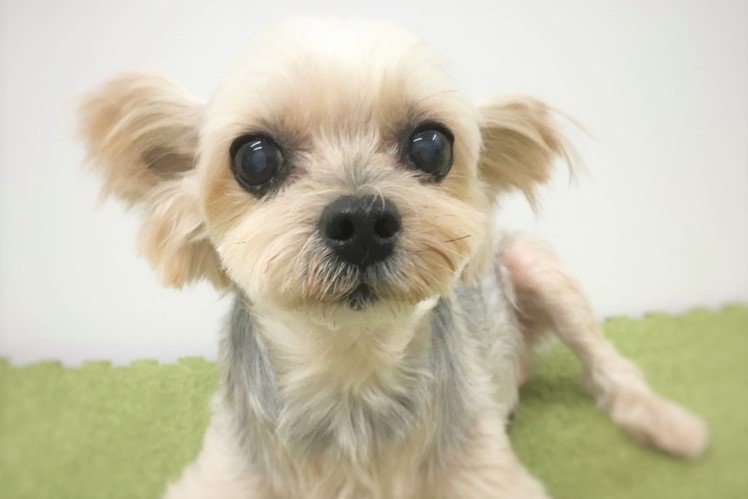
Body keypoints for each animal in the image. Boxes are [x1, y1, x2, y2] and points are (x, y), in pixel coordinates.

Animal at [79, 17, 708, 499]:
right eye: (254, 158)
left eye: (431, 145)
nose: (361, 222)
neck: (351, 382)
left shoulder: (485, 474)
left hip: (535, 265)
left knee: (607, 363)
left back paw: (667, 423)